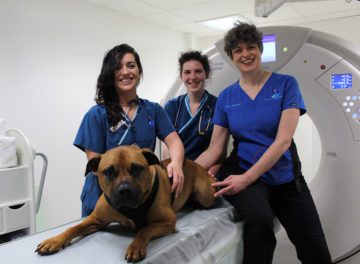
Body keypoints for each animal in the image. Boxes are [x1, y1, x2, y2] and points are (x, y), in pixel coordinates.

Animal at [35, 145, 215, 262]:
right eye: (108, 172)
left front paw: (135, 246)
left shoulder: (167, 221)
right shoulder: (96, 220)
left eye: (137, 169)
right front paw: (54, 241)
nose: (125, 190)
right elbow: (73, 228)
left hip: (204, 193)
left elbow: (144, 229)